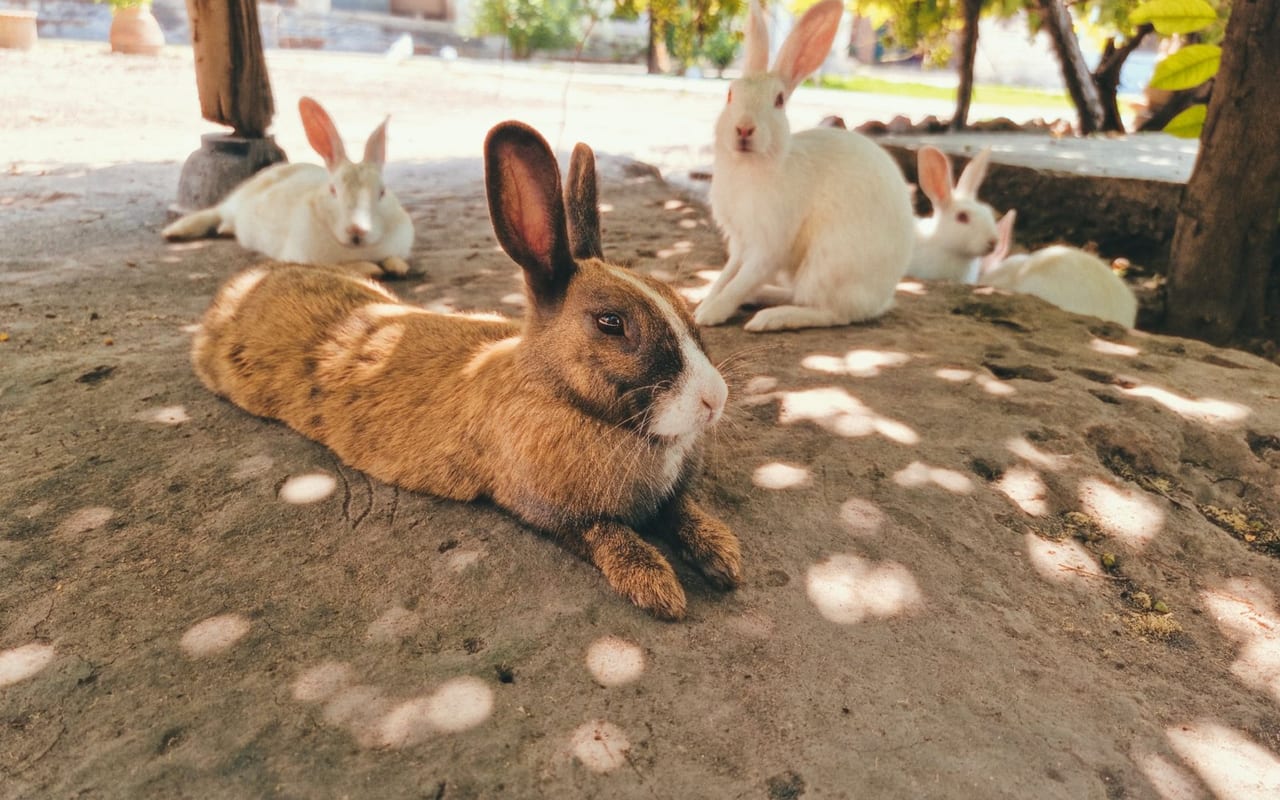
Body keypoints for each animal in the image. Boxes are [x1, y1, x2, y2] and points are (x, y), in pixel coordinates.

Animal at [163, 97, 414, 278]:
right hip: (234, 206)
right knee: (215, 214)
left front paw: (397, 267)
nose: (357, 230)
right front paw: (373, 269)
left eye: (382, 192)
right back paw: (176, 232)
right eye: (333, 191)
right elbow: (350, 266)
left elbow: (394, 257)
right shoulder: (306, 257)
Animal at [191, 121, 741, 620]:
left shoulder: (667, 499)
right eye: (612, 323)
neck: (560, 396)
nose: (715, 399)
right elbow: (608, 534)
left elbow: (682, 510)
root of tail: (239, 288)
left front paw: (724, 557)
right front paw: (659, 590)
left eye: (676, 299)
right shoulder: (549, 511)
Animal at [694, 0, 916, 332]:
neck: (750, 167)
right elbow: (727, 276)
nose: (744, 129)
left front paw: (710, 314)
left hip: (827, 264)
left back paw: (770, 318)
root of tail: (882, 298)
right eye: (731, 94)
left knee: (831, 312)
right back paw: (762, 297)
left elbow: (740, 282)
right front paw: (703, 304)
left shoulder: (769, 246)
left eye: (779, 101)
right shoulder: (739, 242)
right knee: (801, 296)